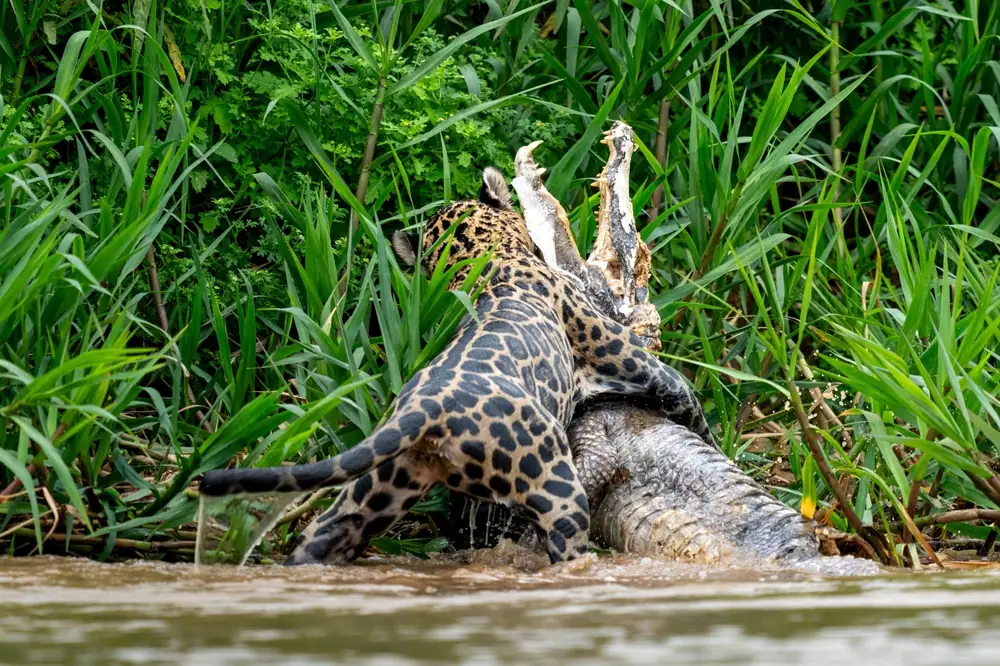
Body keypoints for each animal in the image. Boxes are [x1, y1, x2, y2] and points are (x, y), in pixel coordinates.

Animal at [199, 166, 716, 566]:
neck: (489, 260)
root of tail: (423, 411)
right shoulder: (634, 361)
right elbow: (688, 401)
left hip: (373, 493)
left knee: (323, 538)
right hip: (556, 489)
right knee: (567, 544)